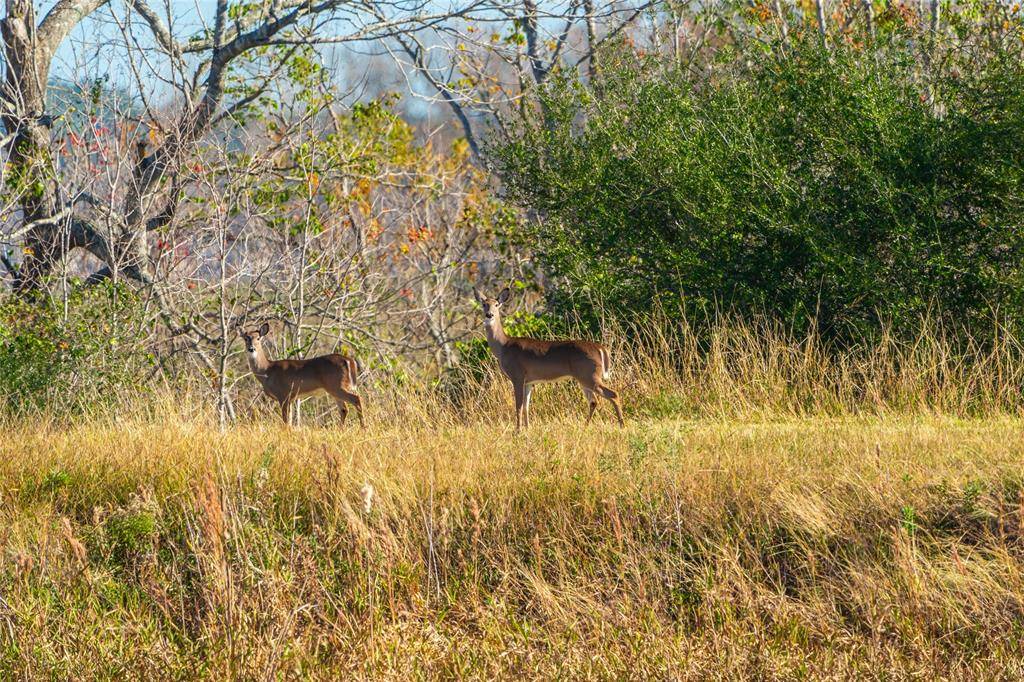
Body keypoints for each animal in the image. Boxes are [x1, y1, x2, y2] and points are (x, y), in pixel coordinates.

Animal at [473, 286, 622, 430]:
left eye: (497, 304)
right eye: (484, 304)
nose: (489, 314)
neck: (503, 346)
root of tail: (600, 348)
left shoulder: (517, 375)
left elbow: (518, 406)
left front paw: (517, 431)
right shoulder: (528, 381)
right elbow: (527, 406)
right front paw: (527, 429)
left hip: (589, 374)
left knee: (613, 394)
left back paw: (622, 425)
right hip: (584, 377)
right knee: (594, 401)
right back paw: (585, 427)